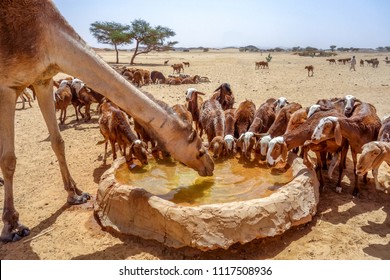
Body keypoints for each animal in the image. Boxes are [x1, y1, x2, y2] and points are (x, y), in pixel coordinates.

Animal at [0, 0, 213, 243]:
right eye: (199, 149)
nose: (211, 166)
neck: (45, 38)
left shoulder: (42, 79)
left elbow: (58, 142)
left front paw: (75, 194)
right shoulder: (7, 87)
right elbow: (8, 159)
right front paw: (12, 226)